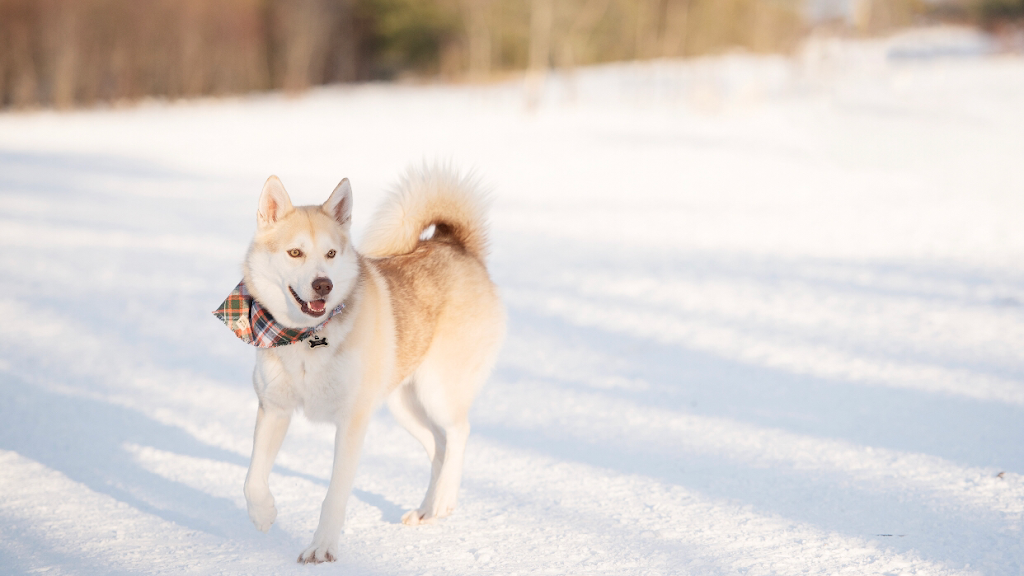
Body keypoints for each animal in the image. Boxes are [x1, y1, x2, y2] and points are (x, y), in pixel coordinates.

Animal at [216, 166, 503, 561]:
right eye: (295, 252)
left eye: (331, 253)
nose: (323, 285)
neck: (305, 337)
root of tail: (454, 244)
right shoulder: (274, 408)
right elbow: (252, 479)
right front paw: (263, 514)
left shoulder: (352, 419)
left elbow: (334, 495)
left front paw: (321, 548)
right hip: (403, 403)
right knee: (439, 446)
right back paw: (429, 508)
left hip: (437, 391)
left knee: (459, 433)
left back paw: (442, 500)